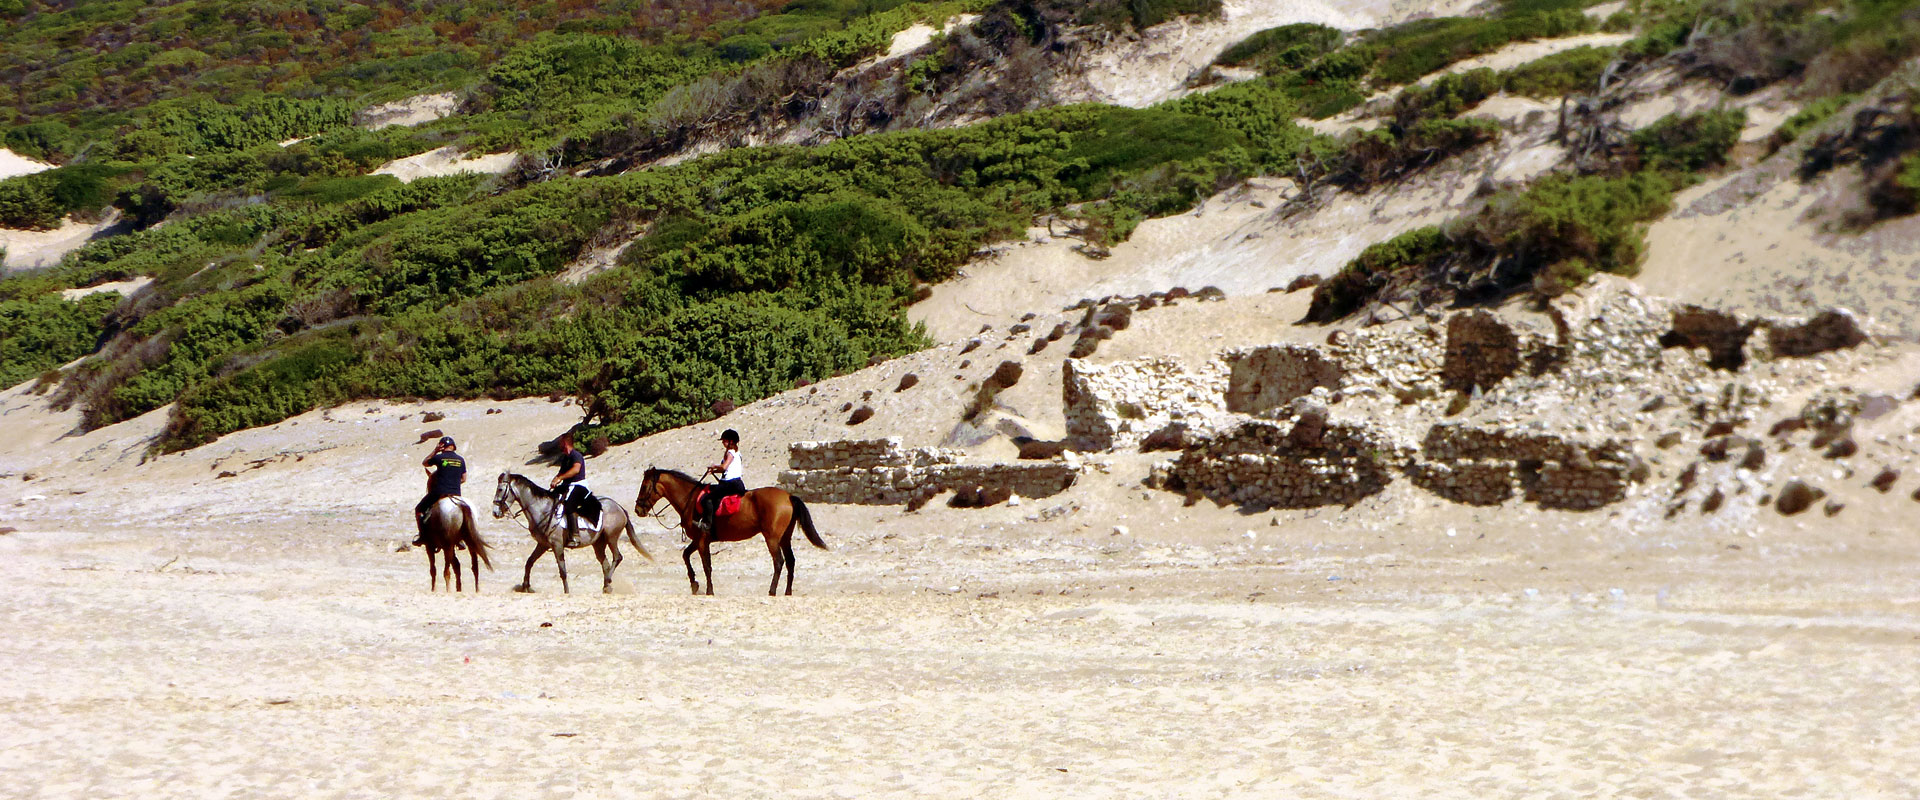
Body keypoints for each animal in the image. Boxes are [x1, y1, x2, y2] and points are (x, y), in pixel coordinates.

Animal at [487, 473, 652, 590]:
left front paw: (566, 591)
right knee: (605, 563)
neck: (543, 509)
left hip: (611, 537)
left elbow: (562, 570)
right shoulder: (543, 545)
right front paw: (525, 585)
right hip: (598, 543)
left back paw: (608, 581)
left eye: (500, 489)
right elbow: (529, 562)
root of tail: (619, 507)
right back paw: (607, 586)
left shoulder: (557, 545)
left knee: (617, 557)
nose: (495, 512)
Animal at [637, 468, 825, 590]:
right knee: (791, 562)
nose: (637, 509)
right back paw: (787, 592)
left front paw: (709, 591)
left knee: (779, 562)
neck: (690, 500)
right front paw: (694, 583)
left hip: (772, 538)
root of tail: (788, 496)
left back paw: (772, 591)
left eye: (644, 486)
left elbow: (707, 566)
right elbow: (685, 555)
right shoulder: (698, 540)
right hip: (785, 538)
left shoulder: (702, 541)